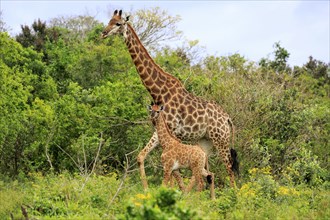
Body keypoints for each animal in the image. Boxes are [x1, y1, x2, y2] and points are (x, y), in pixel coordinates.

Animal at [102, 9, 238, 189]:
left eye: (118, 24)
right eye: (109, 21)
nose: (103, 33)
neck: (158, 91)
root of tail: (227, 118)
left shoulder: (174, 131)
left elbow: (174, 170)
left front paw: (171, 191)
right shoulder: (159, 130)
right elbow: (141, 157)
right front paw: (147, 189)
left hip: (220, 139)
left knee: (229, 167)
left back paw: (235, 194)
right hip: (206, 141)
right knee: (203, 169)